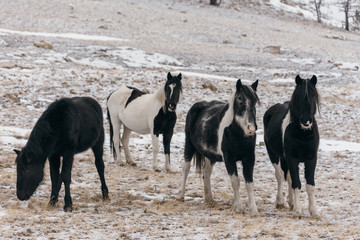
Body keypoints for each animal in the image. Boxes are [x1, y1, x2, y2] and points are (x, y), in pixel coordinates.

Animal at [176, 79, 258, 216]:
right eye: (239, 98)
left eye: (255, 100)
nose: (250, 129)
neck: (235, 131)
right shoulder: (229, 158)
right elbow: (235, 181)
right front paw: (239, 207)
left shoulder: (249, 158)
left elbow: (250, 183)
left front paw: (253, 210)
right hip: (189, 145)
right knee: (185, 168)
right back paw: (180, 195)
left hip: (211, 156)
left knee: (206, 172)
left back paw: (209, 199)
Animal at [262, 76, 320, 218]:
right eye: (298, 98)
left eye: (313, 97)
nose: (306, 121)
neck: (303, 135)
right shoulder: (292, 159)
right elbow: (296, 184)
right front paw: (298, 210)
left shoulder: (311, 159)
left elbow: (310, 185)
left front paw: (314, 211)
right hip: (273, 155)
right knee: (280, 176)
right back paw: (280, 202)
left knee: (287, 177)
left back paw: (291, 202)